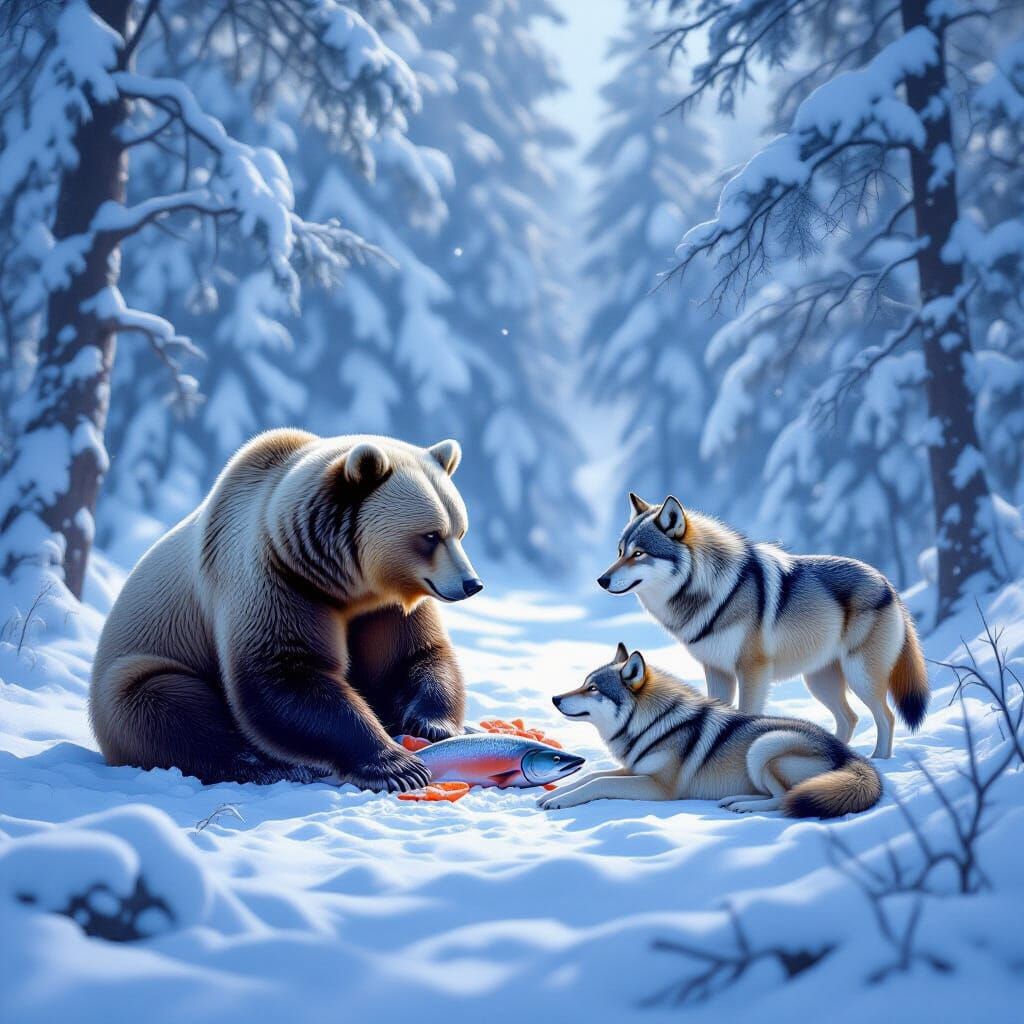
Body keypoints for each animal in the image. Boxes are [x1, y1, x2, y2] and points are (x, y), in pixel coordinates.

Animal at [89, 429, 483, 791]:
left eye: (460, 531)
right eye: (430, 535)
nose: (471, 584)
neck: (345, 582)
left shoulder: (384, 607)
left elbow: (408, 656)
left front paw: (432, 724)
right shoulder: (277, 579)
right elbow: (287, 671)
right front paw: (397, 767)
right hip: (138, 666)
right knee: (170, 706)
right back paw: (272, 766)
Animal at [540, 645, 882, 817]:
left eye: (593, 689)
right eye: (584, 683)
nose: (554, 698)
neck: (652, 724)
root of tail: (853, 757)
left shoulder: (659, 787)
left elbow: (597, 784)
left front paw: (560, 801)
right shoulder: (634, 769)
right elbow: (591, 776)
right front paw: (554, 793)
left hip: (765, 746)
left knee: (785, 799)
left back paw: (743, 805)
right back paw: (735, 799)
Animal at [596, 494, 928, 758]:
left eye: (639, 553)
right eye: (620, 552)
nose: (602, 580)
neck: (711, 592)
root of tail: (887, 583)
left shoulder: (752, 670)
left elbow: (747, 713)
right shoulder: (716, 670)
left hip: (860, 677)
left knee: (887, 717)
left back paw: (880, 760)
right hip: (819, 682)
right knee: (851, 718)